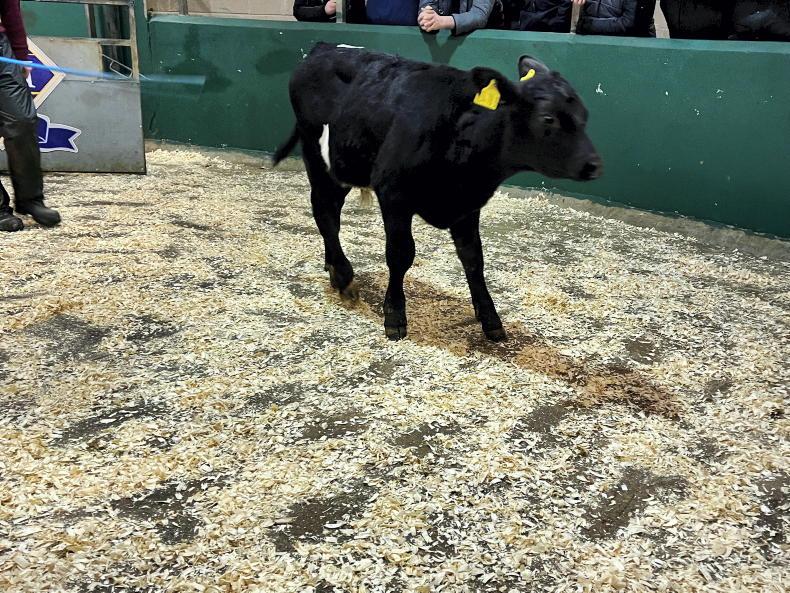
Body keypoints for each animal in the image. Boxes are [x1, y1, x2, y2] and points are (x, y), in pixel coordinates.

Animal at [273, 43, 601, 342]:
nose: (594, 164)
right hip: (316, 158)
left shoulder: (468, 203)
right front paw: (395, 315)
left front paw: (490, 319)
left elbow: (473, 258)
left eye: (585, 114)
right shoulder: (394, 195)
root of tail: (323, 48)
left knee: (332, 215)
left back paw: (332, 266)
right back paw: (343, 276)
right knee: (324, 213)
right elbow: (400, 254)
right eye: (548, 118)